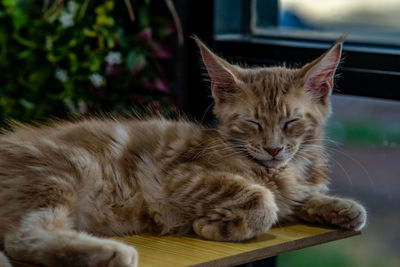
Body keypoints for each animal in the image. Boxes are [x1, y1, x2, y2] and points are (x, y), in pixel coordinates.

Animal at [0, 37, 368, 267]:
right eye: (251, 122)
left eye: (292, 121)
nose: (273, 148)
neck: (284, 168)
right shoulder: (179, 178)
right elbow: (264, 201)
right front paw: (214, 226)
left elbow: (294, 199)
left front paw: (338, 207)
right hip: (62, 170)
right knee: (23, 236)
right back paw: (110, 253)